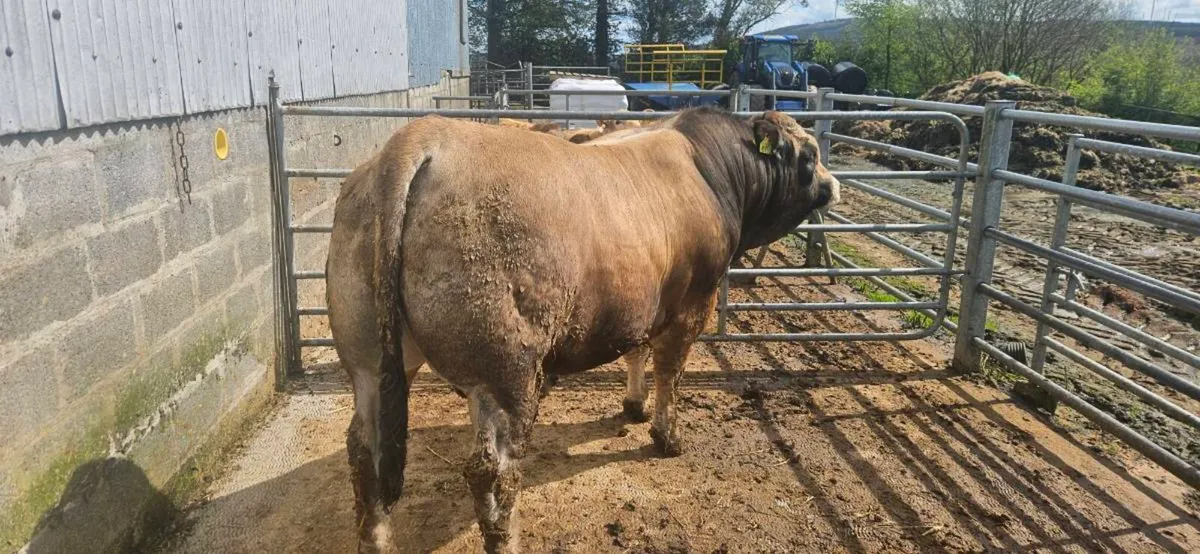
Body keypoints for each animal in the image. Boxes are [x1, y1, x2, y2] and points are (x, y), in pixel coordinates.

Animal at [325, 107, 840, 553]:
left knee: (365, 453)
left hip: (370, 361)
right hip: (504, 371)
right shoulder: (694, 302)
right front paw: (667, 436)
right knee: (493, 474)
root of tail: (423, 135)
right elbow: (670, 372)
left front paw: (633, 405)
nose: (833, 185)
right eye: (809, 154)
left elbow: (636, 351)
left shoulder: (638, 297)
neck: (709, 169)